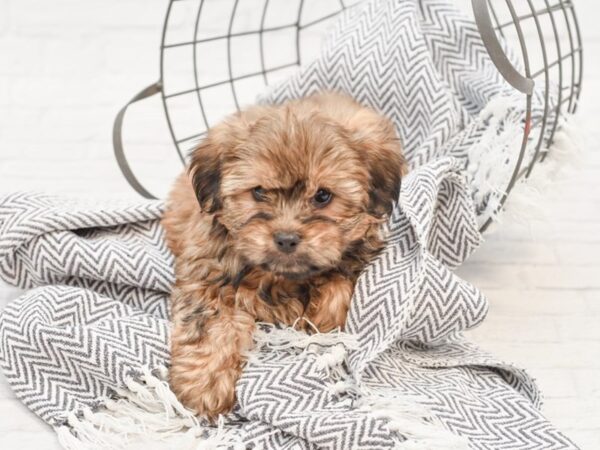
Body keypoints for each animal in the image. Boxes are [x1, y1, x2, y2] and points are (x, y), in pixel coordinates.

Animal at [163, 92, 408, 422]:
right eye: (258, 192)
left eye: (323, 196)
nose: (286, 238)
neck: (279, 276)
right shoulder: (207, 273)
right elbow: (211, 324)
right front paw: (205, 386)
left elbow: (340, 283)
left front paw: (323, 316)